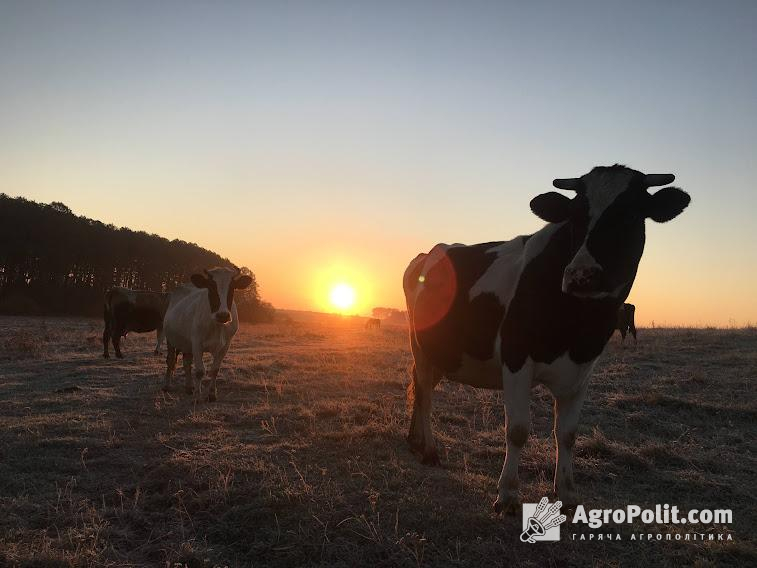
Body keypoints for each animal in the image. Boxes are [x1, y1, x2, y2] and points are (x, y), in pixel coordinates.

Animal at [404, 163, 688, 510]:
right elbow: (517, 429)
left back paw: (415, 442)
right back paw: (429, 450)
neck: (577, 326)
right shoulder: (516, 358)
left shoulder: (583, 369)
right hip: (419, 345)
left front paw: (566, 492)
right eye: (575, 216)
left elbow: (567, 434)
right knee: (425, 395)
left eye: (631, 214)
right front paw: (507, 494)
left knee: (422, 389)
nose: (581, 275)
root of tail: (428, 253)